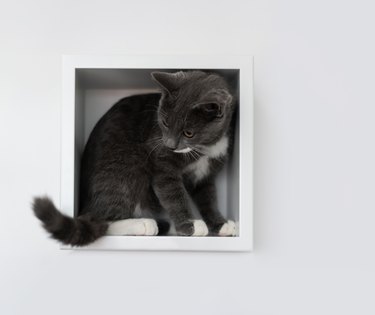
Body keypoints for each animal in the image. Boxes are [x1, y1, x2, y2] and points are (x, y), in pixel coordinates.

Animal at [32, 71, 238, 247]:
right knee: (104, 220)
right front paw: (190, 225)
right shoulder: (162, 164)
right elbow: (173, 194)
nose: (169, 144)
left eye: (188, 132)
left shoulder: (204, 175)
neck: (206, 146)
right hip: (125, 170)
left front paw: (220, 224)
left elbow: (208, 198)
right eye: (164, 123)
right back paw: (143, 224)